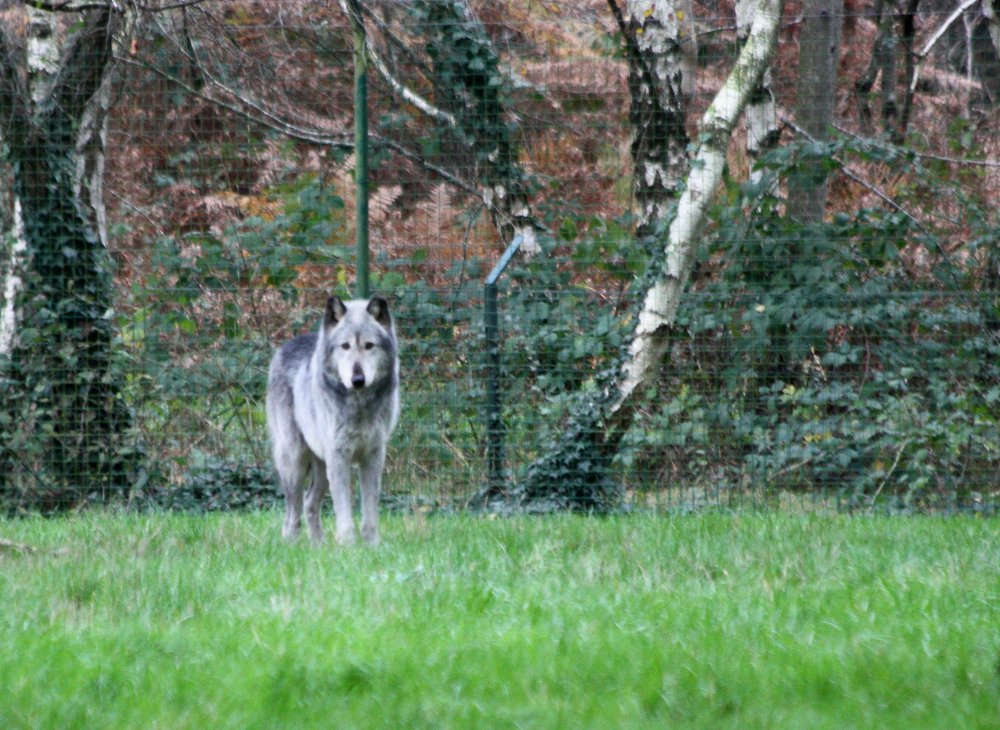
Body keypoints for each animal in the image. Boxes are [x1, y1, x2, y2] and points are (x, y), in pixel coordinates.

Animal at [270, 292, 402, 544]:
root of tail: (287, 344)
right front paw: (348, 545)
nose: (358, 379)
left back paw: (318, 546)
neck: (359, 406)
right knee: (292, 510)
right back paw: (291, 544)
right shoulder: (339, 457)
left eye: (369, 346)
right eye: (345, 346)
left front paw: (372, 545)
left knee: (309, 503)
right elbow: (344, 510)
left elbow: (370, 510)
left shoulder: (373, 456)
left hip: (321, 469)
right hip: (295, 462)